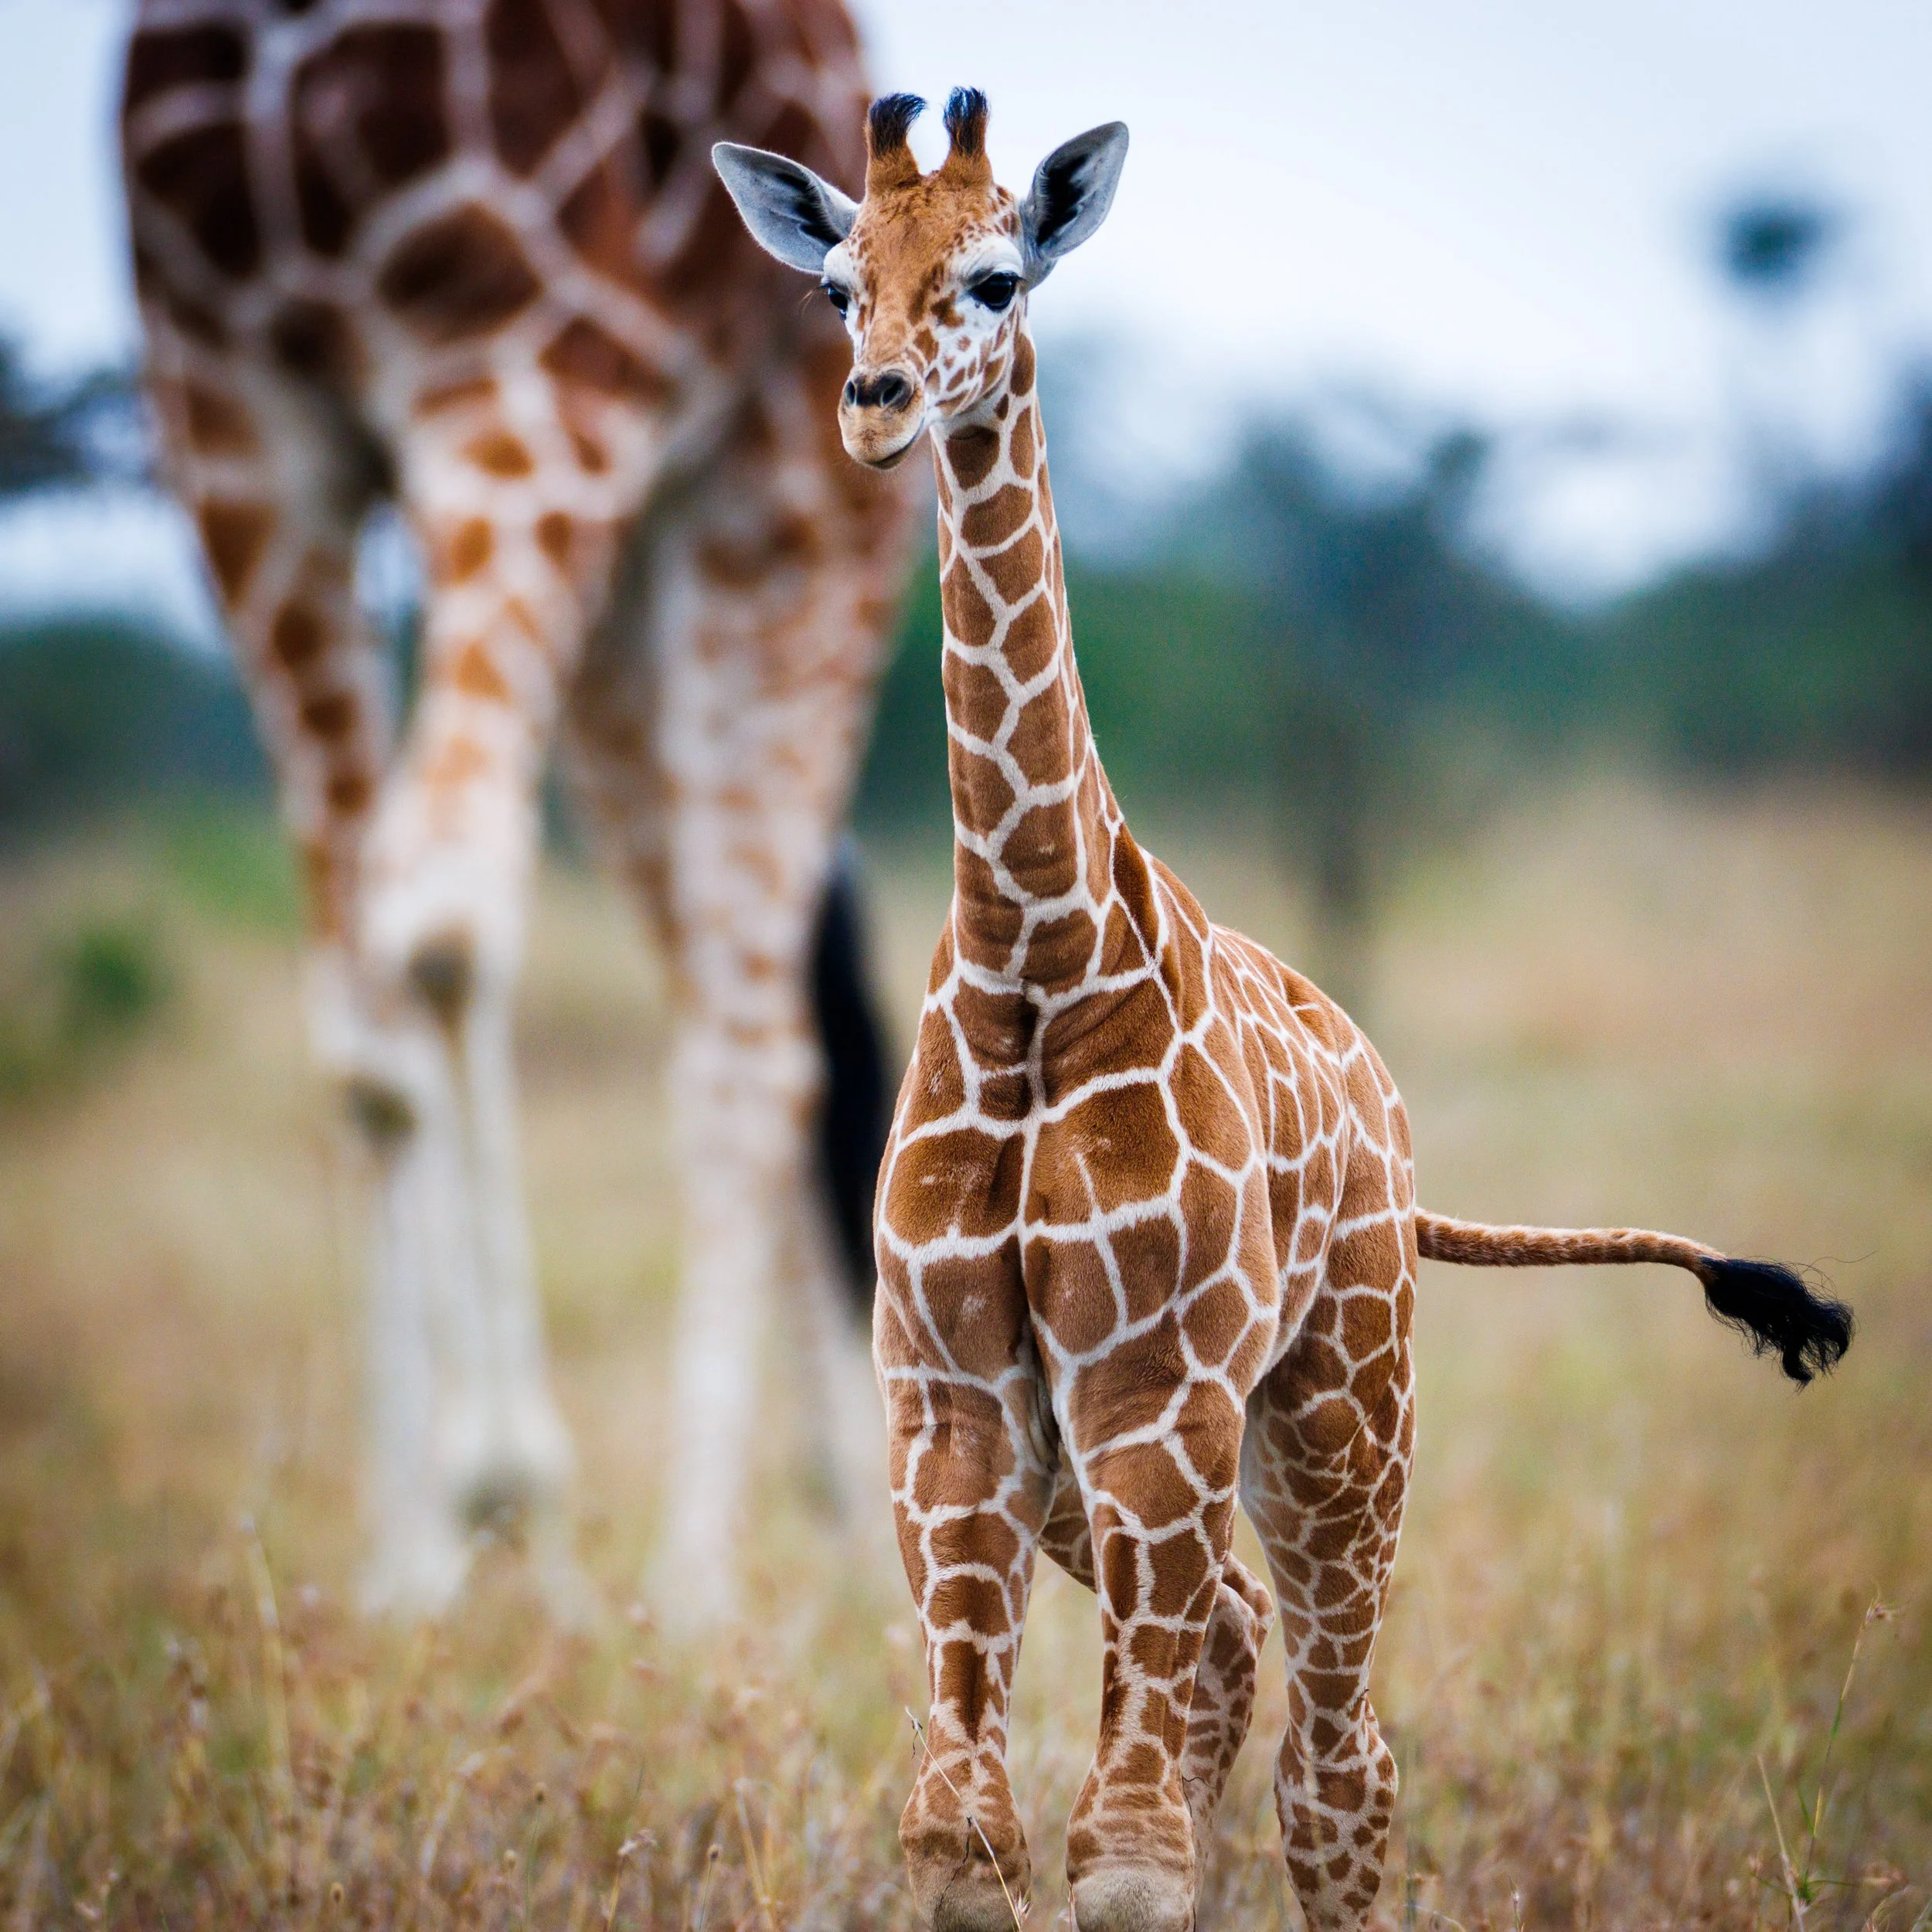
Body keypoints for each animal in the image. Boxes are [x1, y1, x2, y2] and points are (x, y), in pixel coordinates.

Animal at [119, 0, 918, 1622]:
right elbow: (362, 1023)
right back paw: (843, 1526)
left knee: (749, 1045)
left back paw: (698, 1577)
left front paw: (508, 1481)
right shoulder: (233, 414)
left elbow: (442, 923)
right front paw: (410, 1562)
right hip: (630, 616)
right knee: (759, 1015)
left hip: (792, 520)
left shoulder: (525, 353)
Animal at [715, 89, 1857, 1932]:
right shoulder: (953, 1409)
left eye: (997, 276)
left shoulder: (1152, 1394)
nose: (874, 405)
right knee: (1238, 1672)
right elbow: (968, 1836)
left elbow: (1123, 1855)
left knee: (1338, 1757)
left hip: (1339, 1409)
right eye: (834, 285)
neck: (1031, 949)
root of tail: (1386, 1113)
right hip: (1118, 1466)